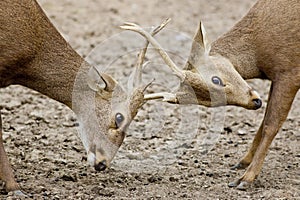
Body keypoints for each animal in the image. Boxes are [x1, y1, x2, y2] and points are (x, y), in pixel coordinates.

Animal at [121, 0, 300, 191]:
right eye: (206, 102)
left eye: (216, 79)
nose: (255, 101)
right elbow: (264, 122)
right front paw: (242, 162)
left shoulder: (289, 72)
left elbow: (270, 124)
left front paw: (245, 179)